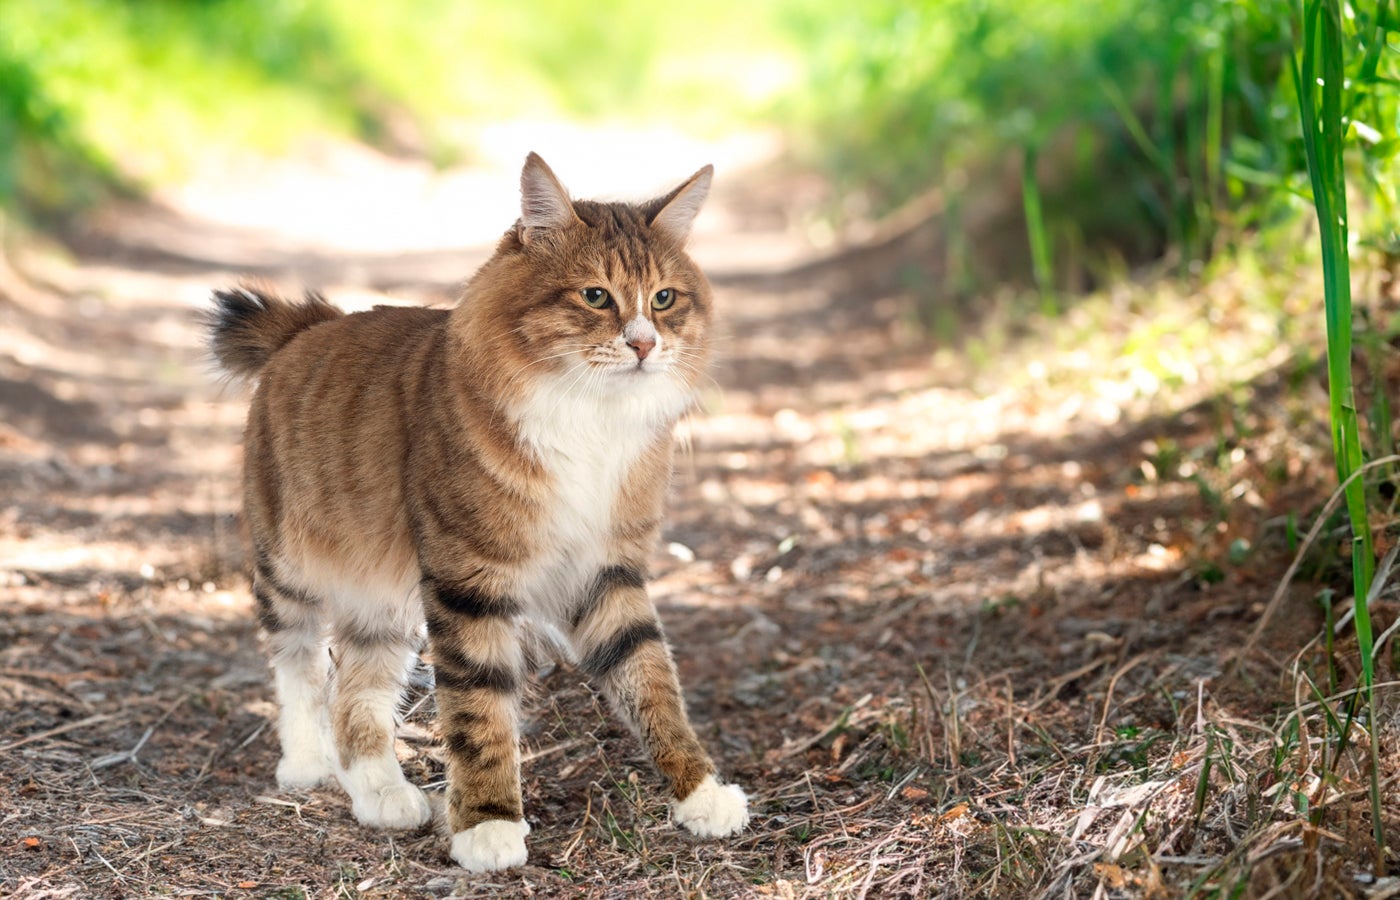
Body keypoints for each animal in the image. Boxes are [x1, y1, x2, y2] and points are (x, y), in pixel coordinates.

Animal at [205, 153, 750, 873]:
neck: (590, 420)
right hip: (289, 567)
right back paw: (305, 763)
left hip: (382, 606)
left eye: (663, 299)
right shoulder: (469, 581)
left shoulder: (608, 571)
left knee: (356, 698)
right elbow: (478, 712)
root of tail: (313, 323)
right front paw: (488, 824)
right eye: (595, 296)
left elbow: (653, 685)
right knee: (299, 665)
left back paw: (382, 794)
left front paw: (700, 793)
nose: (642, 344)